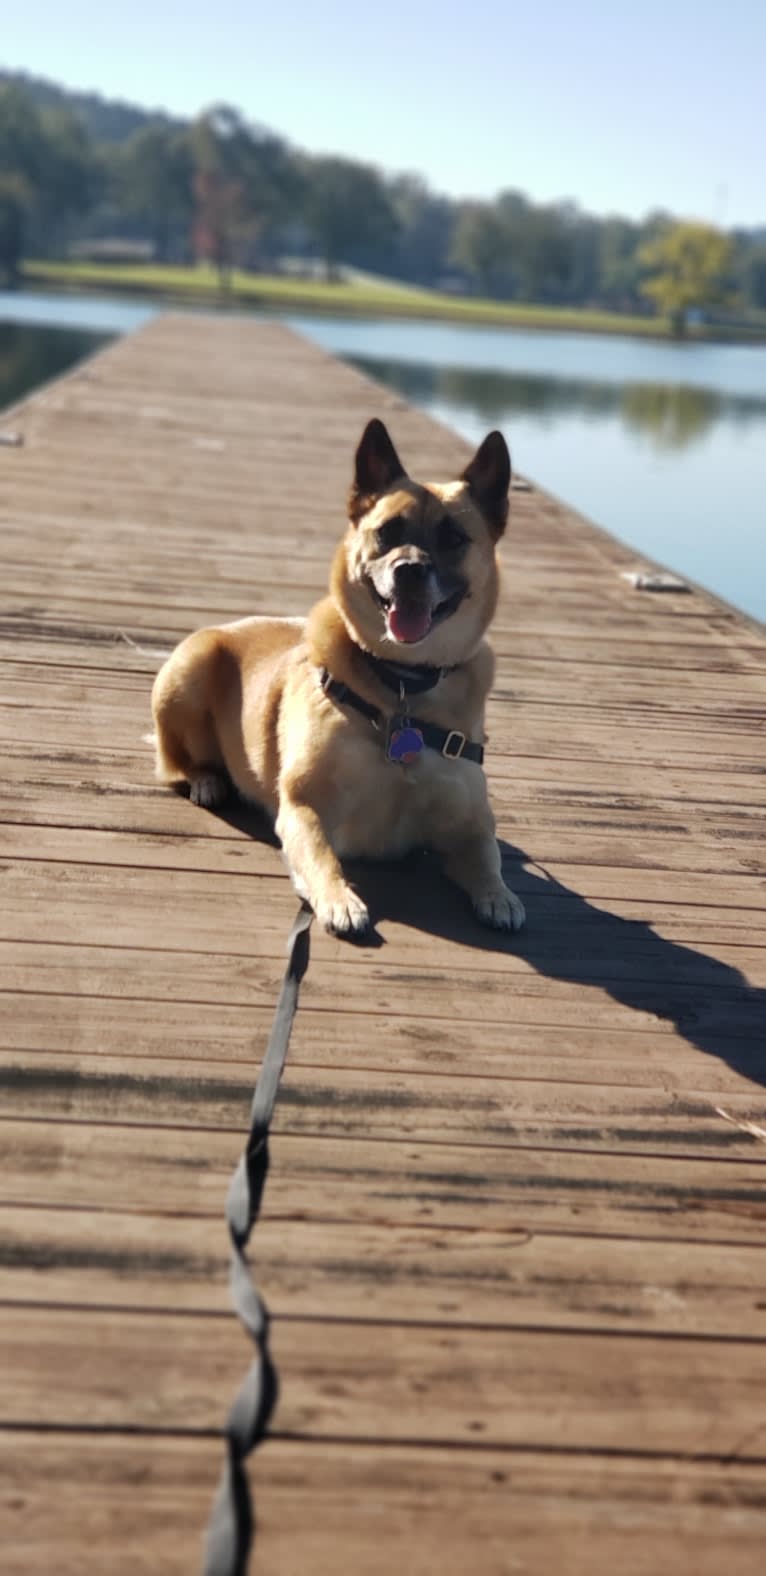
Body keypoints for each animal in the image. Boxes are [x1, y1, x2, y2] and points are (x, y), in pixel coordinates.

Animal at [153, 416, 529, 932]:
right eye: (387, 532)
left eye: (454, 538)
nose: (409, 570)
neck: (403, 685)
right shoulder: (302, 806)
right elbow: (320, 857)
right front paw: (338, 899)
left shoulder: (468, 821)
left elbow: (487, 856)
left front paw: (500, 896)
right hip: (186, 674)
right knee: (174, 760)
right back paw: (206, 779)